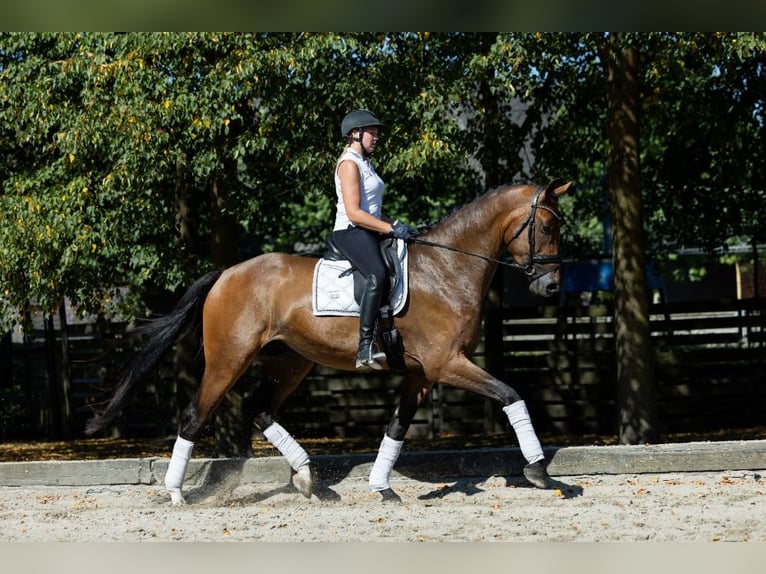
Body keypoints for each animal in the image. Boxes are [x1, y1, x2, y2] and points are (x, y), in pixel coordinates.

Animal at [85, 178, 571, 505]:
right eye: (548, 227)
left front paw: (381, 486)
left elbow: (396, 426)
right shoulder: (445, 364)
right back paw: (177, 494)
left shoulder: (421, 373)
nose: (550, 288)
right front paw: (540, 472)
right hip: (229, 359)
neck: (447, 269)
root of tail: (226, 274)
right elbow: (511, 394)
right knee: (194, 415)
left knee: (260, 409)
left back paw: (307, 479)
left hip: (289, 362)